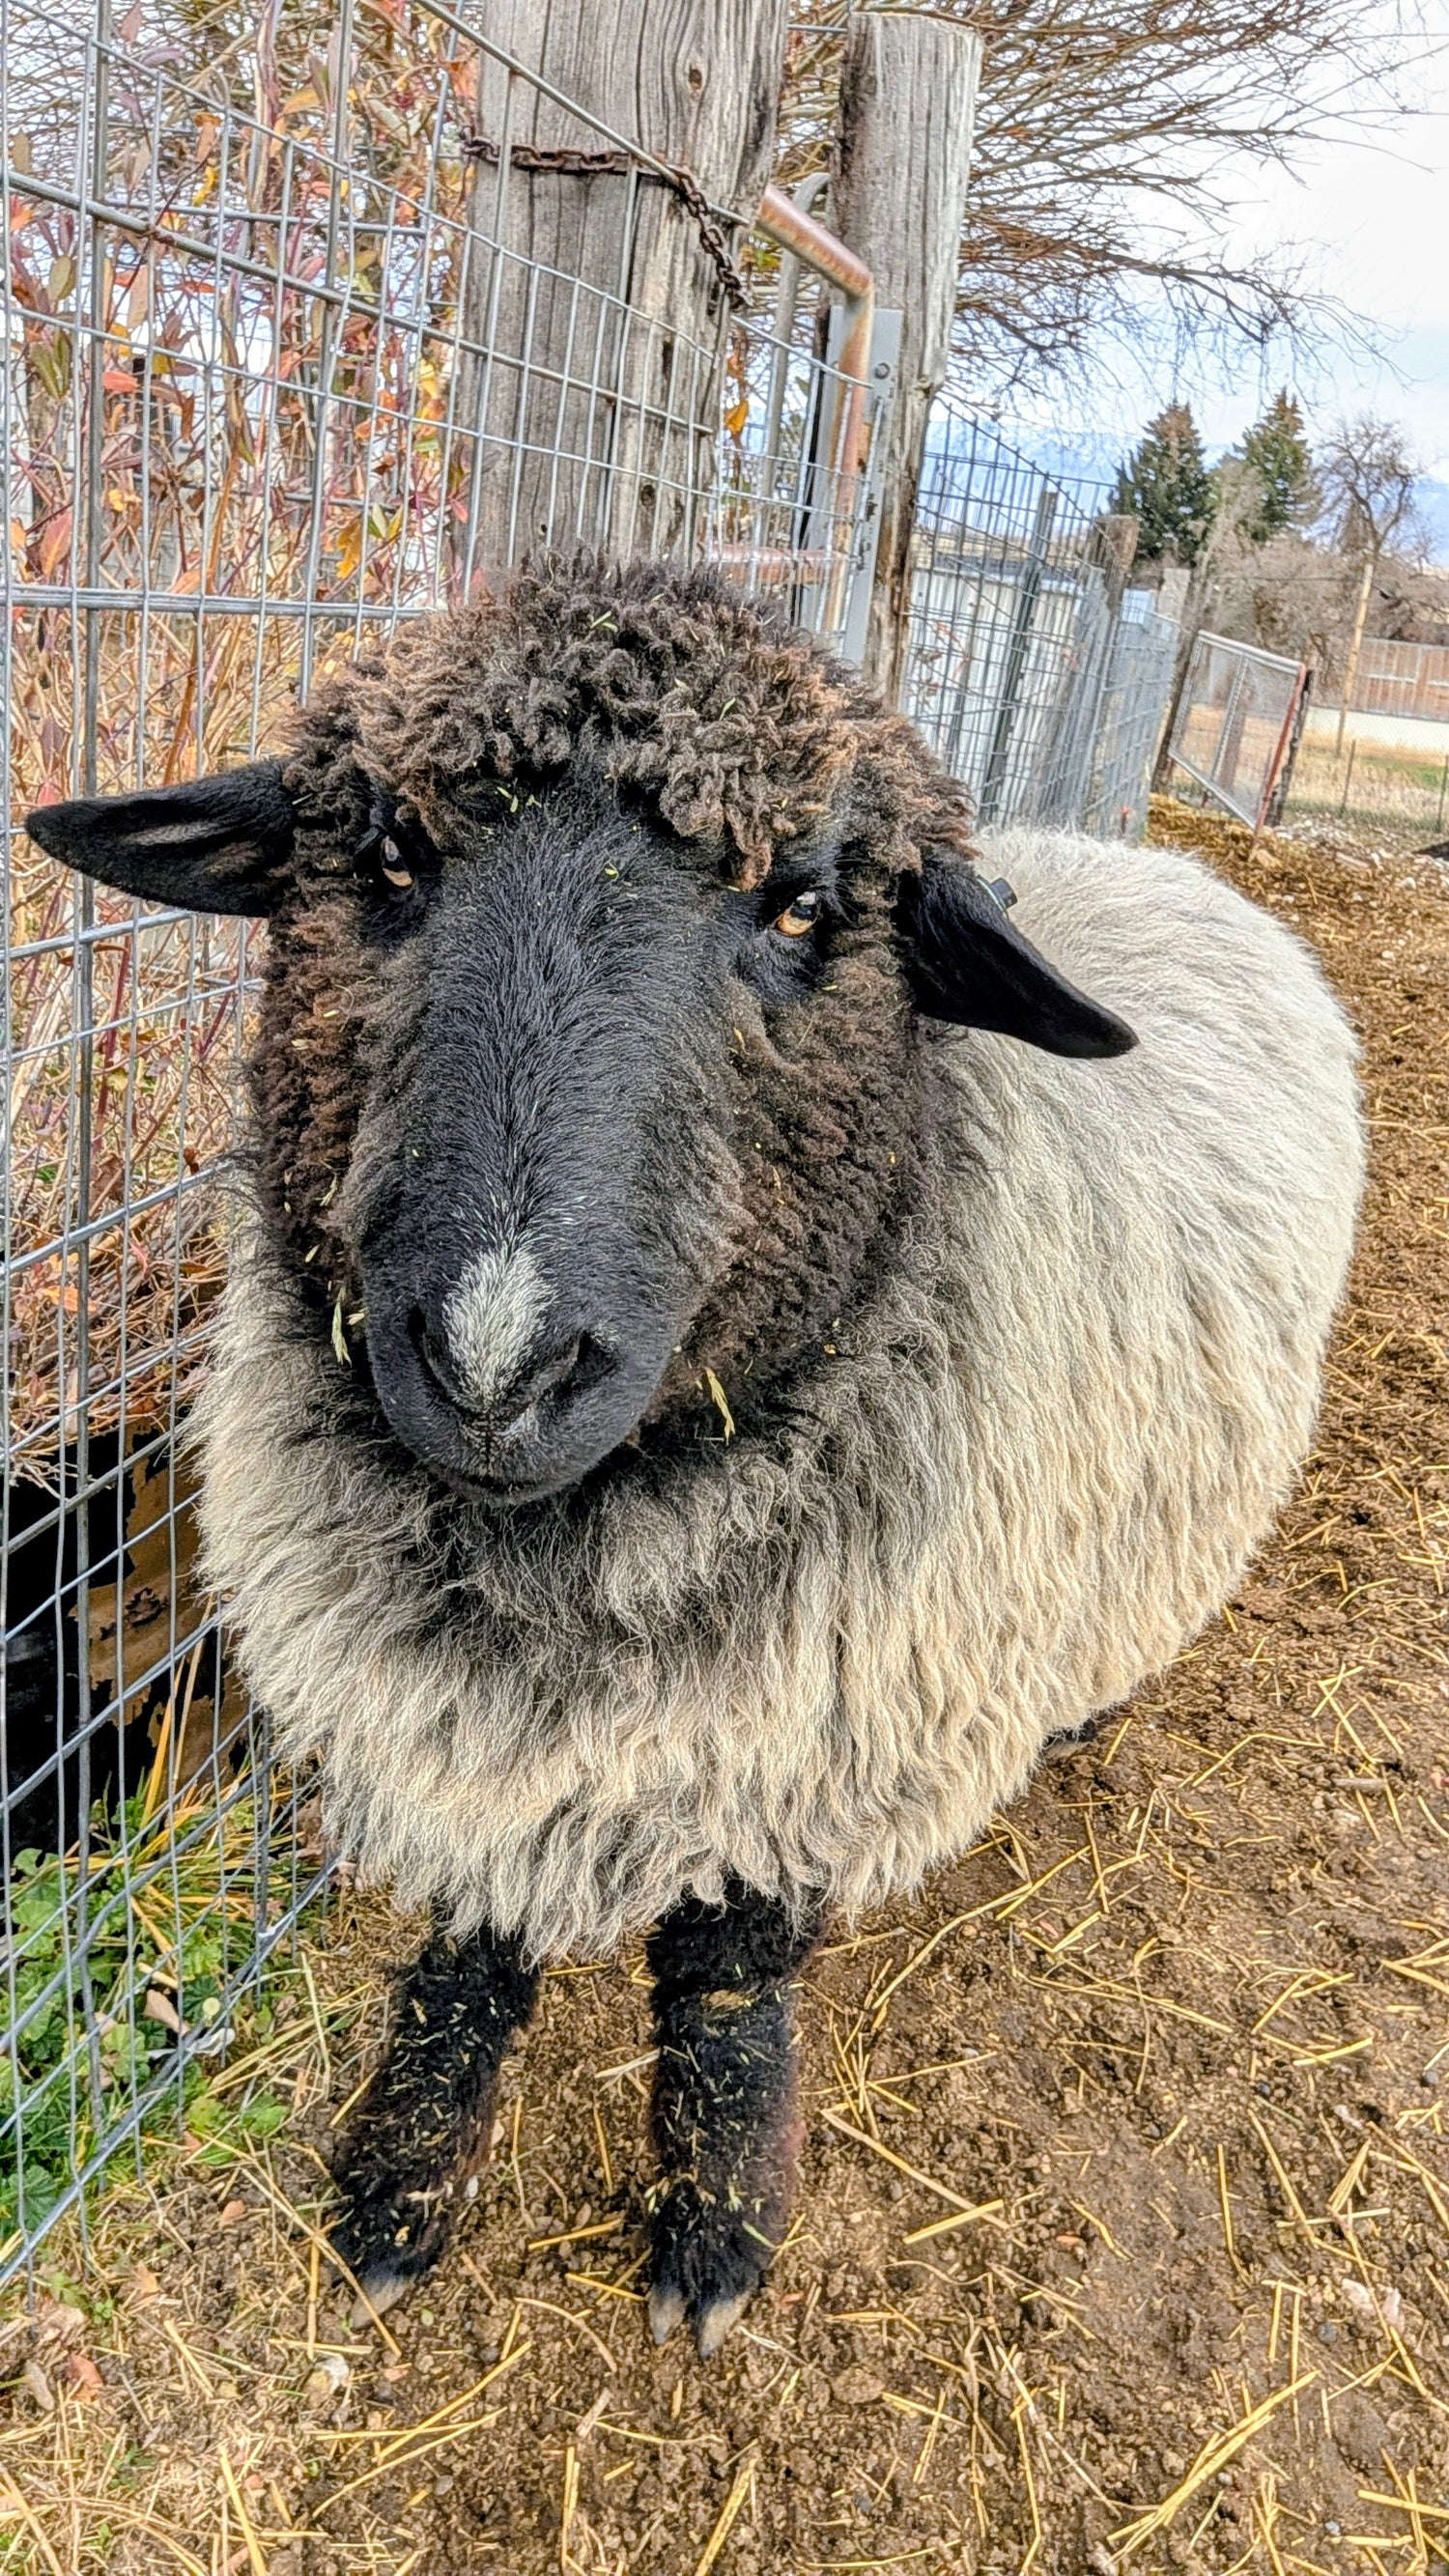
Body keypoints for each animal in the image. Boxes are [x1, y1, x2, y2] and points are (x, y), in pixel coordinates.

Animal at [28, 554, 1365, 2357]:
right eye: (389, 854)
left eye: (804, 909)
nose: (496, 1361)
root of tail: (1170, 863)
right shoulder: (458, 1711)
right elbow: (477, 1925)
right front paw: (403, 2174)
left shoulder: (832, 1713)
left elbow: (725, 1972)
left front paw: (717, 2221)